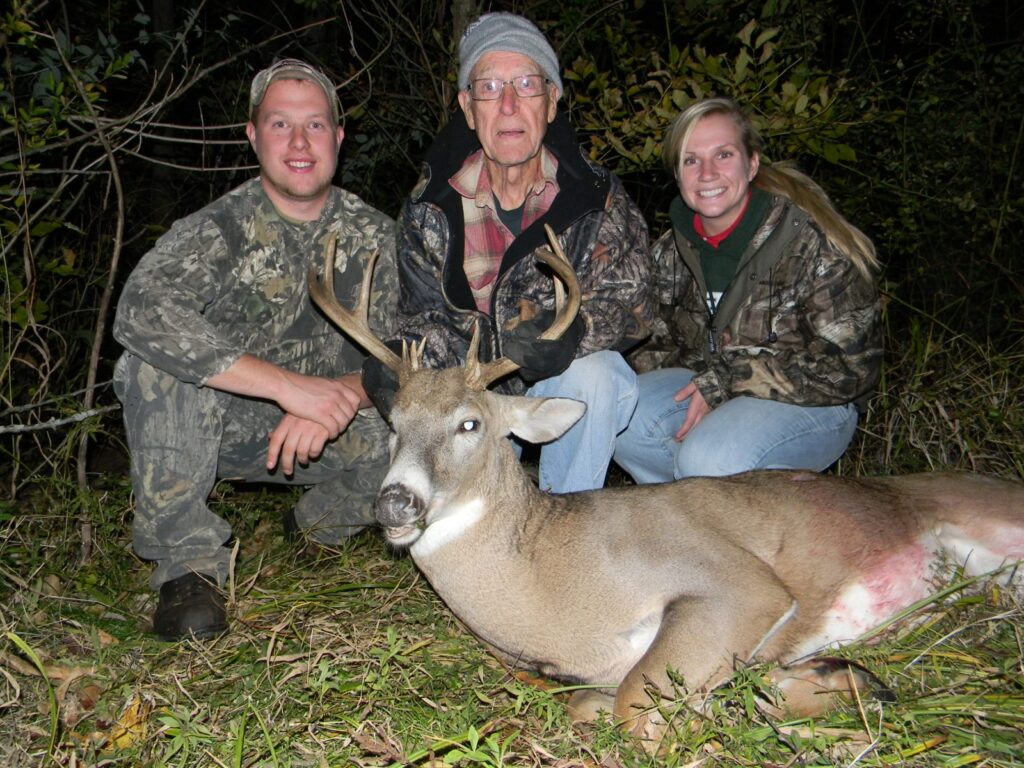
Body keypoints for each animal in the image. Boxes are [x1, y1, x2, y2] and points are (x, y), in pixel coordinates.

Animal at [309, 228, 1024, 747]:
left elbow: (633, 704)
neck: (559, 586)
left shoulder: (736, 582)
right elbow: (591, 705)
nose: (394, 502)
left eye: (470, 423)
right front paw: (826, 680)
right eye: (395, 424)